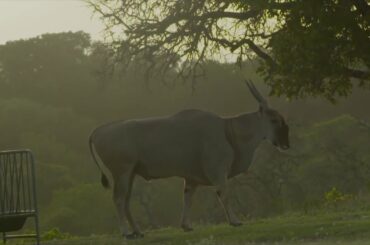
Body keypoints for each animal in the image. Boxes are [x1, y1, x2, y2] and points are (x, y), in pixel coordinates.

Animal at [89, 80, 290, 239]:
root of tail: (98, 131)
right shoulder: (218, 172)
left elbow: (188, 198)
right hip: (122, 172)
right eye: (274, 120)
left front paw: (186, 226)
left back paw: (138, 231)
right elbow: (223, 194)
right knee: (118, 199)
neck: (228, 130)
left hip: (130, 174)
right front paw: (235, 221)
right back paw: (126, 232)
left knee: (126, 200)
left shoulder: (192, 179)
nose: (285, 143)